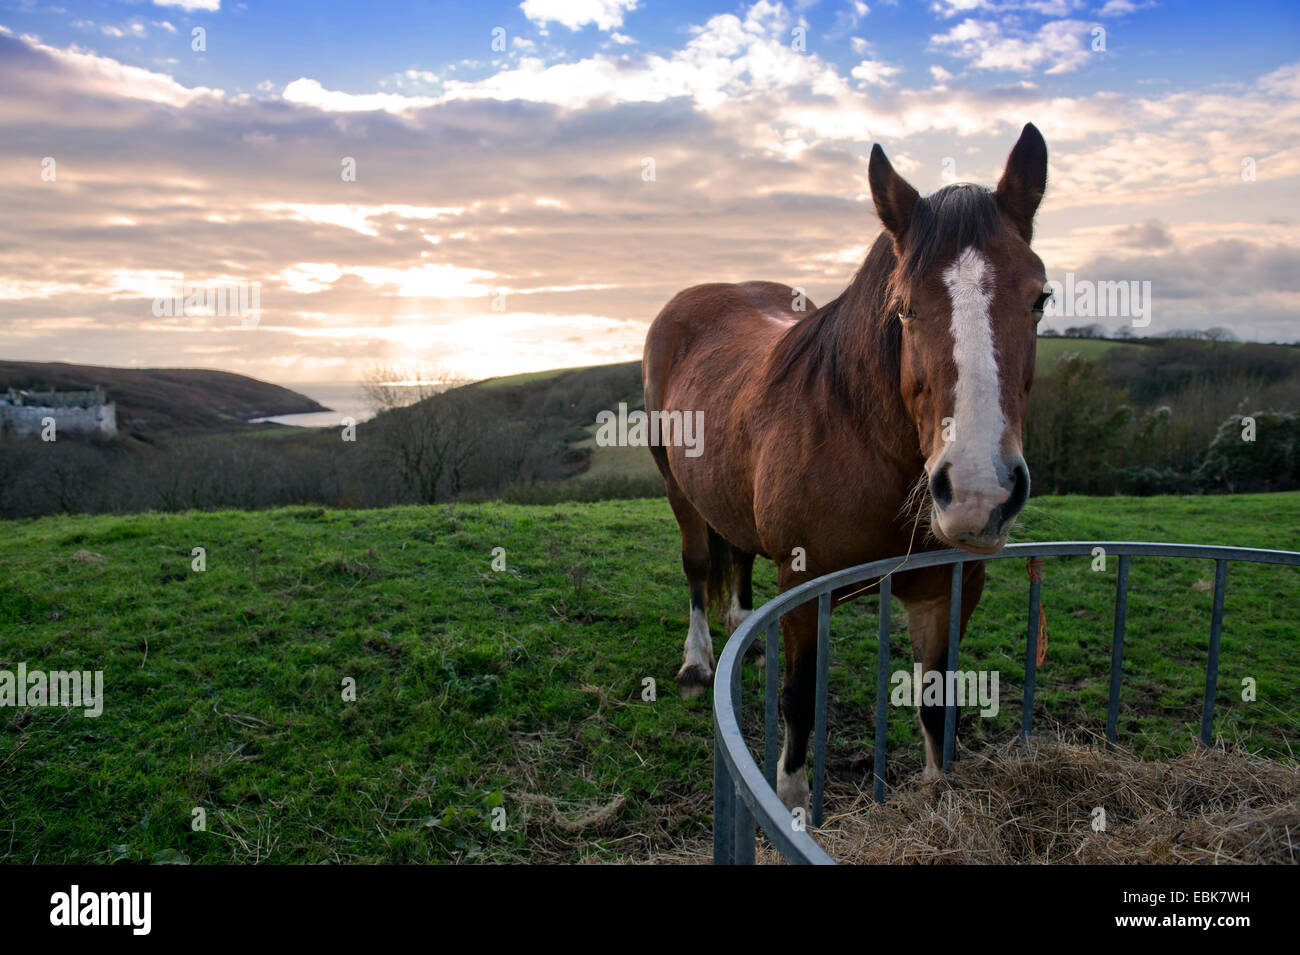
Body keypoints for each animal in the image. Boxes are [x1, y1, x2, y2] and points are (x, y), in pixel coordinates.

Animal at [644, 123, 1050, 810]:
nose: (978, 493)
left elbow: (936, 703)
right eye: (904, 307)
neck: (867, 443)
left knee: (738, 552)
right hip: (678, 489)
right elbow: (799, 701)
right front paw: (792, 802)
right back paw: (698, 662)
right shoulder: (803, 590)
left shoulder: (948, 589)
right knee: (699, 565)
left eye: (1040, 300)